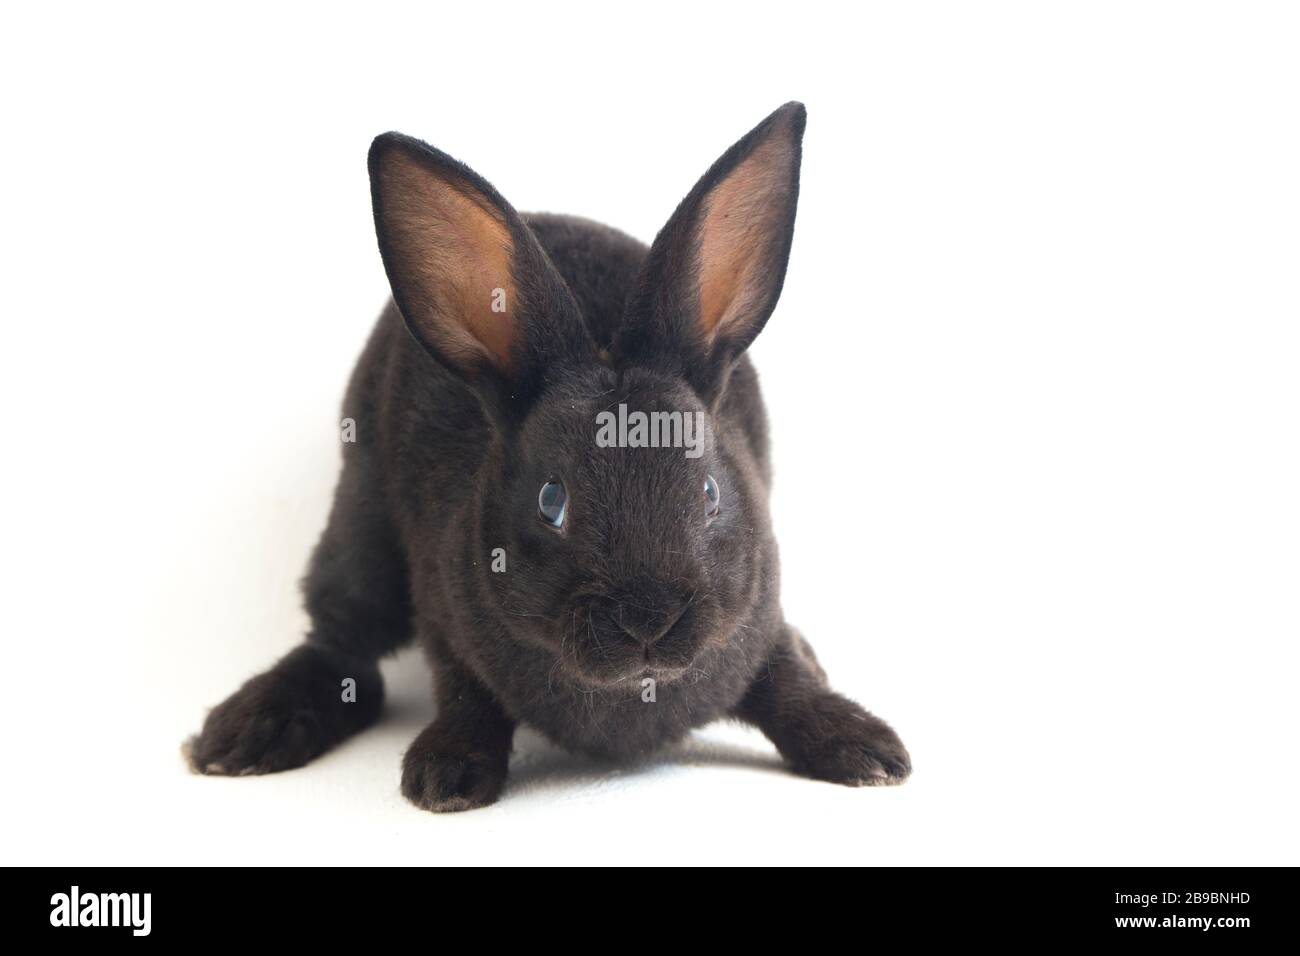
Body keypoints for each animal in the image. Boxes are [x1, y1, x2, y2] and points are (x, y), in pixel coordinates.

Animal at [185, 102, 911, 811]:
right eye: (551, 503)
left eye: (709, 493)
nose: (648, 618)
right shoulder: (444, 620)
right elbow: (465, 693)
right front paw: (445, 776)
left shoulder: (760, 620)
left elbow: (787, 682)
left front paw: (870, 752)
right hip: (360, 521)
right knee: (342, 646)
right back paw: (241, 734)